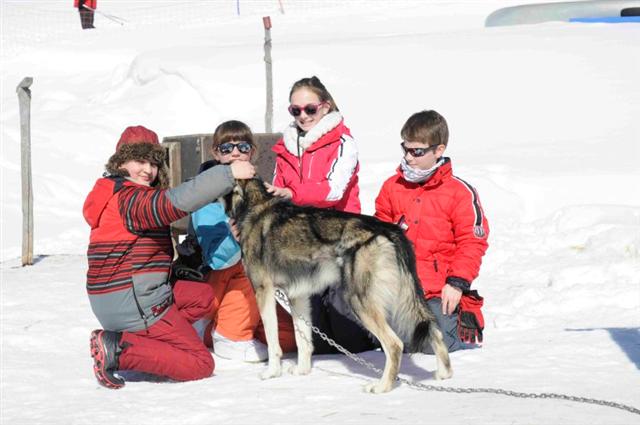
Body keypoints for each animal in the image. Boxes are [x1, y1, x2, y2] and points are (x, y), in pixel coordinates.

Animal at [225, 178, 456, 390]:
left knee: (394, 344)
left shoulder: (263, 292)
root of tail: (389, 230)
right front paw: (302, 371)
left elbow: (273, 342)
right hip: (406, 298)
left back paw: (382, 386)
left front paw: (271, 373)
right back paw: (444, 375)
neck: (255, 205)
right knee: (434, 330)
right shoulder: (298, 296)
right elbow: (303, 341)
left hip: (357, 301)